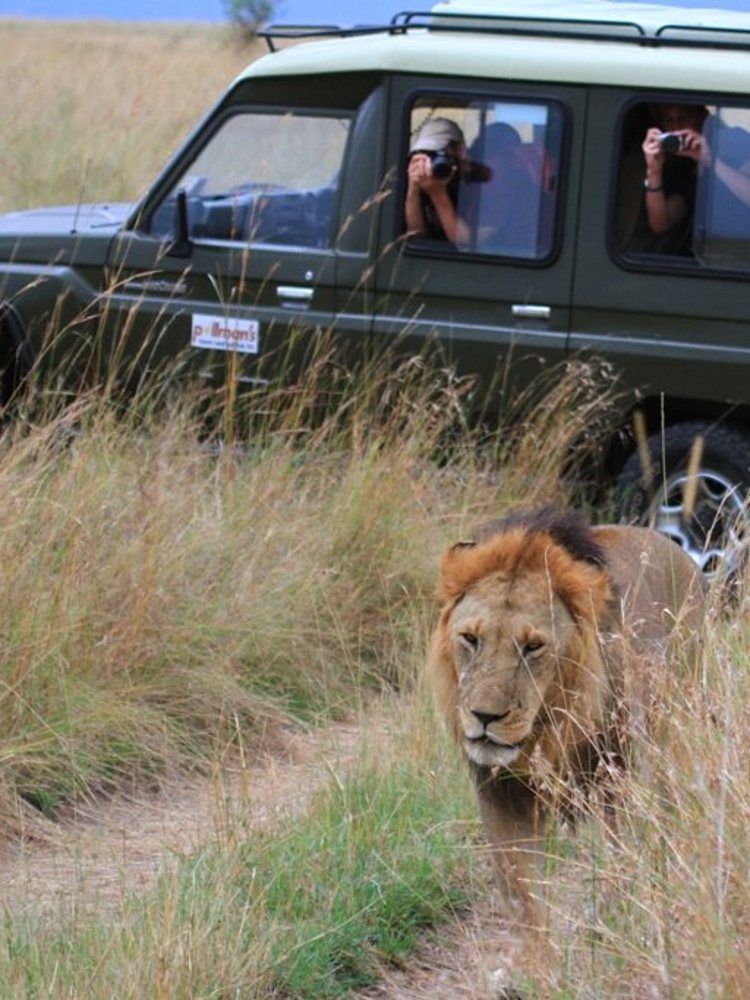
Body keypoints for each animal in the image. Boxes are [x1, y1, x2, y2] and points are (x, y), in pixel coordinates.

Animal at [426, 506, 707, 908]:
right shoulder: (501, 798)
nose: (484, 717)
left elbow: (620, 870)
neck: (549, 733)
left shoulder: (616, 785)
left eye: (533, 647)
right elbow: (526, 902)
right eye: (470, 638)